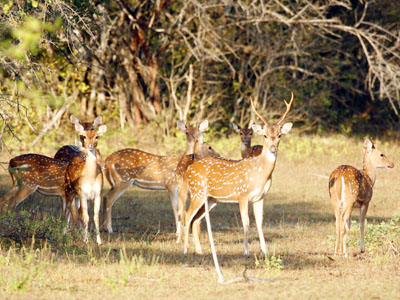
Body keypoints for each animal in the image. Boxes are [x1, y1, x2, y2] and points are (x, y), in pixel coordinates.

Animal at [178, 92, 294, 264]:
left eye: (279, 135)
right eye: (265, 135)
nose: (273, 148)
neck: (260, 174)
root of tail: (189, 170)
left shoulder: (260, 197)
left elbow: (259, 222)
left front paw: (265, 251)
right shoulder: (242, 194)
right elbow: (245, 222)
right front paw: (246, 251)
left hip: (211, 199)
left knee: (196, 220)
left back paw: (199, 251)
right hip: (197, 192)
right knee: (187, 215)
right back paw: (185, 250)